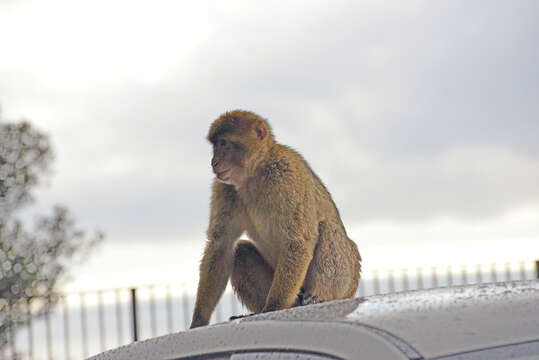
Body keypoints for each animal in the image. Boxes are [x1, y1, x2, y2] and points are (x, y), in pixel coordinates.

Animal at [190, 109, 362, 330]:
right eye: (216, 146)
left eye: (224, 144)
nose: (214, 162)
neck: (256, 172)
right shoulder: (225, 189)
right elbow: (221, 246)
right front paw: (198, 321)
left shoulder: (286, 177)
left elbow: (298, 241)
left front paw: (273, 307)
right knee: (241, 251)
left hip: (346, 281)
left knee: (327, 228)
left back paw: (318, 298)